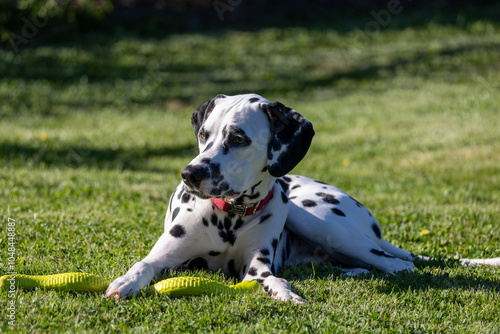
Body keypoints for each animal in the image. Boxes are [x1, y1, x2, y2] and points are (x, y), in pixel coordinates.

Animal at [105, 93, 500, 302]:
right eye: (204, 134)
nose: (190, 174)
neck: (230, 217)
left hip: (314, 218)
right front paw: (124, 283)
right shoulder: (167, 256)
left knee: (397, 265)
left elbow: (274, 279)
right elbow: (142, 265)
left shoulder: (258, 268)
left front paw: (287, 294)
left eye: (239, 138)